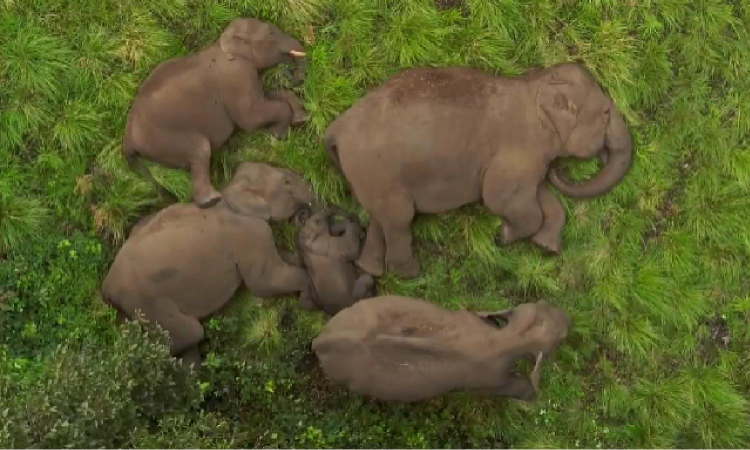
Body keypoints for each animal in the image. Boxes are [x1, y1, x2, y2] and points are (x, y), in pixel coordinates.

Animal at [101, 162, 315, 367]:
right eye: (286, 181)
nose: (305, 212)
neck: (232, 191)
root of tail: (107, 286)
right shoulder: (250, 232)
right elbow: (265, 282)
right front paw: (308, 299)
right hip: (145, 302)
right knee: (190, 333)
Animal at [123, 17, 309, 208]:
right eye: (271, 32)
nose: (289, 74)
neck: (223, 41)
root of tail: (127, 140)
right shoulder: (237, 75)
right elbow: (251, 118)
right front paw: (278, 135)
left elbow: (265, 97)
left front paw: (299, 120)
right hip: (162, 139)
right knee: (200, 149)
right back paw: (212, 200)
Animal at [311, 296, 571, 402]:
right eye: (562, 337)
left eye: (543, 304)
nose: (568, 317)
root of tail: (320, 340)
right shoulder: (491, 379)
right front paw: (530, 396)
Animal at [324, 62, 633, 278]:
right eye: (606, 113)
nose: (561, 172)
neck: (533, 86)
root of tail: (336, 128)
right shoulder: (519, 148)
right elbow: (499, 198)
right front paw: (504, 237)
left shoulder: (531, 159)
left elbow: (541, 197)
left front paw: (545, 246)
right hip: (377, 170)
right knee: (399, 220)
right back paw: (410, 273)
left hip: (371, 176)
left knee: (380, 218)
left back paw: (372, 269)